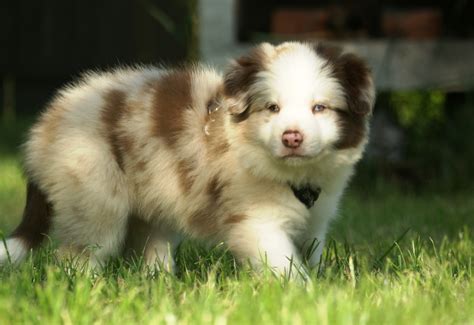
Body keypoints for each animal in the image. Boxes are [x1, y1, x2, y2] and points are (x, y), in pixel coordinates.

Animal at [0, 41, 374, 276]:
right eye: (272, 108)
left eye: (320, 108)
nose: (292, 137)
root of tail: (45, 125)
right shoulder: (256, 221)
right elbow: (283, 263)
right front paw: (301, 292)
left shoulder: (316, 221)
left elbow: (310, 254)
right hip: (95, 197)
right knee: (79, 255)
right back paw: (85, 287)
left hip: (152, 201)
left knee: (149, 247)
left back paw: (158, 282)